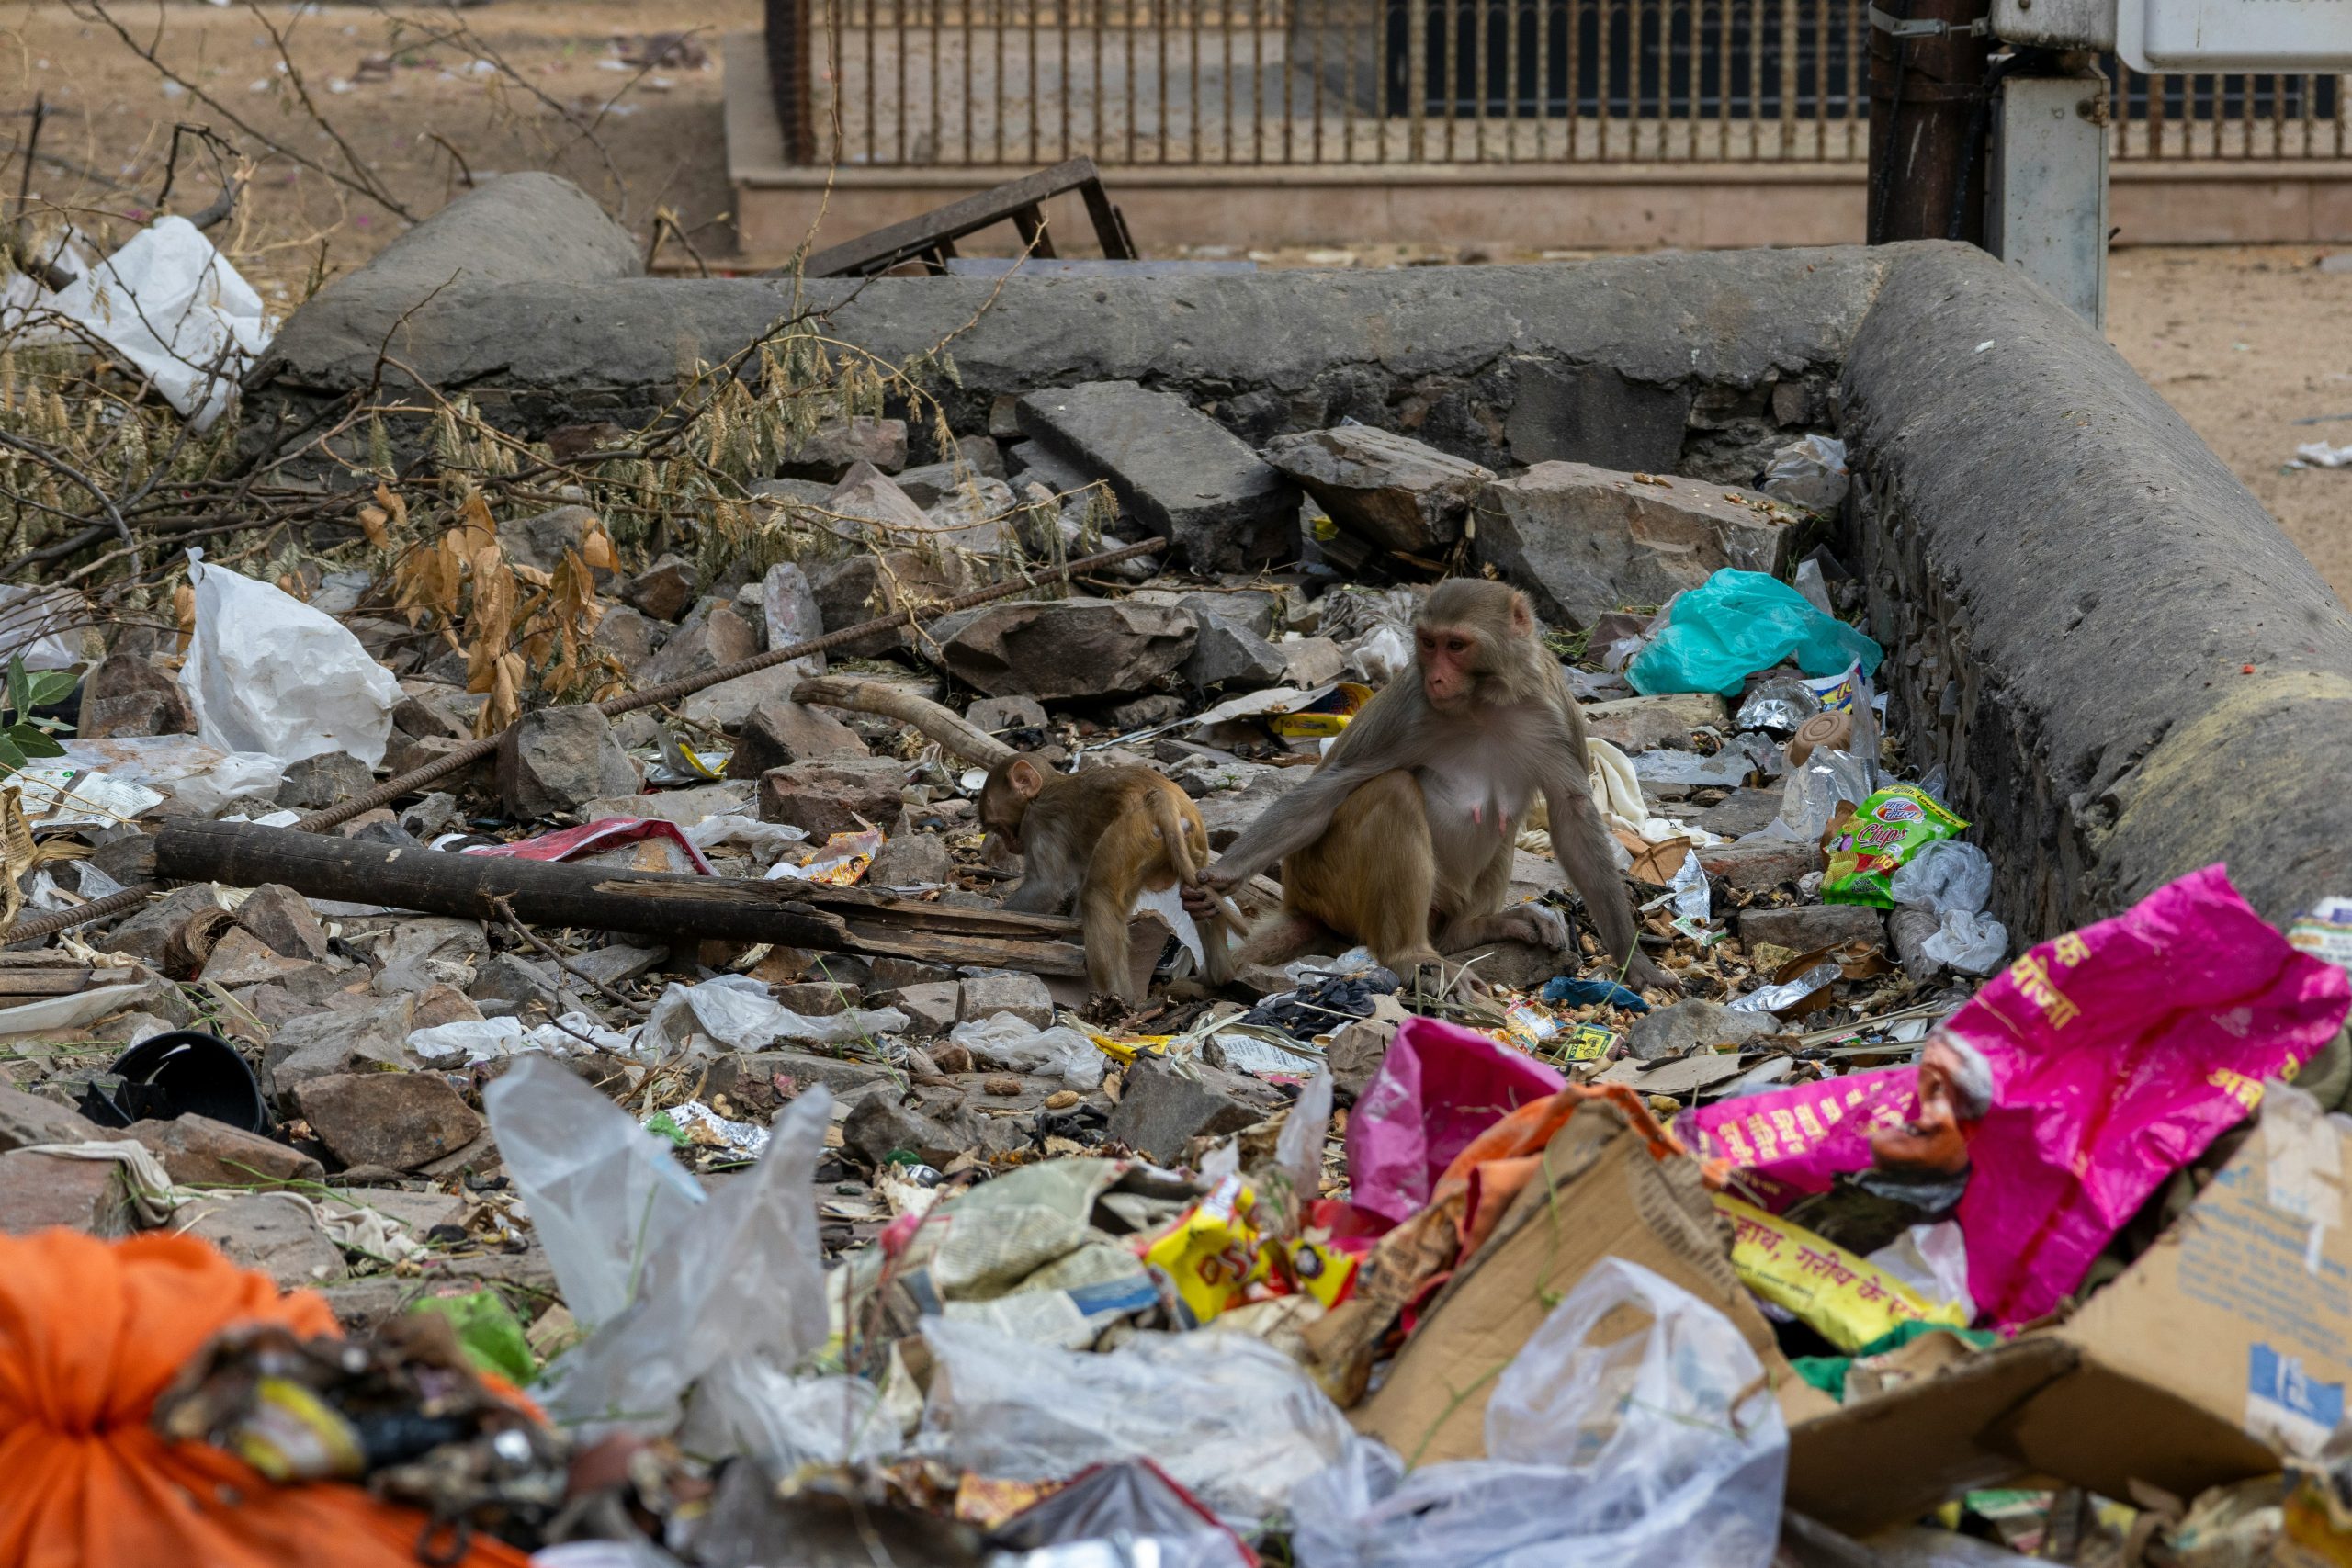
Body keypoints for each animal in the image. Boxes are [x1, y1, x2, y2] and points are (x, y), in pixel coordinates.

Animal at [973, 751, 1241, 1001]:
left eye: (998, 827)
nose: (1010, 845)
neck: (1045, 789)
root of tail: (1161, 797)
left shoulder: (1037, 822)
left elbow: (1045, 887)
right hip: (1193, 838)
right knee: (1197, 892)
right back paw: (1217, 976)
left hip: (1130, 836)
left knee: (1097, 897)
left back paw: (1119, 999)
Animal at [1194, 576, 1674, 991]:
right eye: (1428, 643)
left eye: (1456, 645)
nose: (1436, 677)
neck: (1486, 700)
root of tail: (1301, 903)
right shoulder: (1410, 709)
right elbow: (1332, 786)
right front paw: (1224, 874)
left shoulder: (1555, 713)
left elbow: (1572, 813)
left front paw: (1631, 958)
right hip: (1329, 890)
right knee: (1393, 794)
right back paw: (1409, 955)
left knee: (1499, 829)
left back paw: (1471, 930)